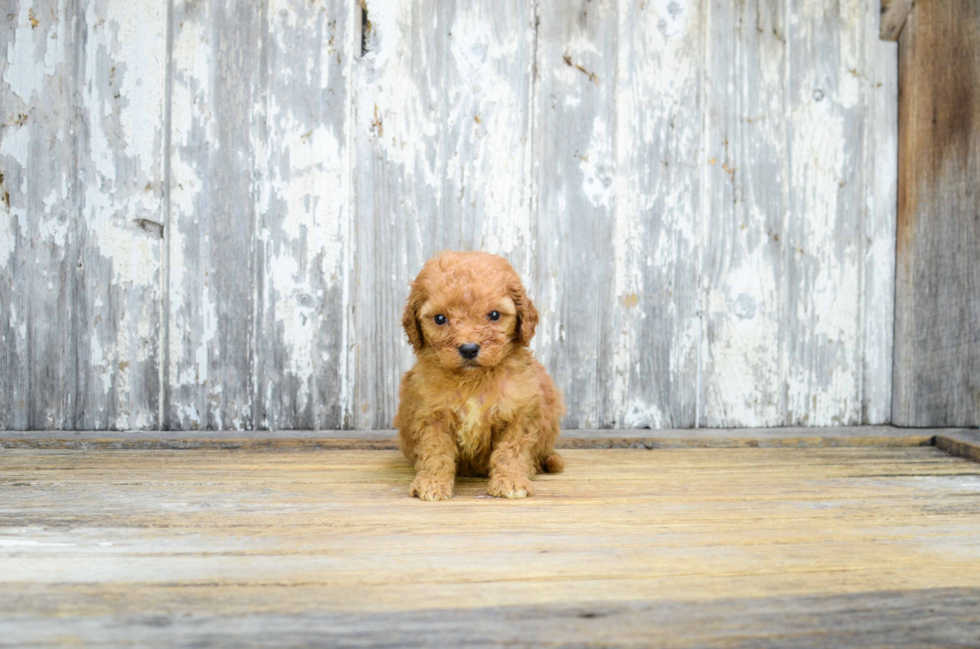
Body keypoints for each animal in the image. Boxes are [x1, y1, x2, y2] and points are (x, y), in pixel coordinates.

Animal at [394, 249, 568, 502]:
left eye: (494, 315)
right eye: (440, 319)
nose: (468, 349)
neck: (472, 380)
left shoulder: (521, 413)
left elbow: (511, 450)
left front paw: (510, 481)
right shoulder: (431, 416)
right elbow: (436, 452)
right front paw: (432, 482)